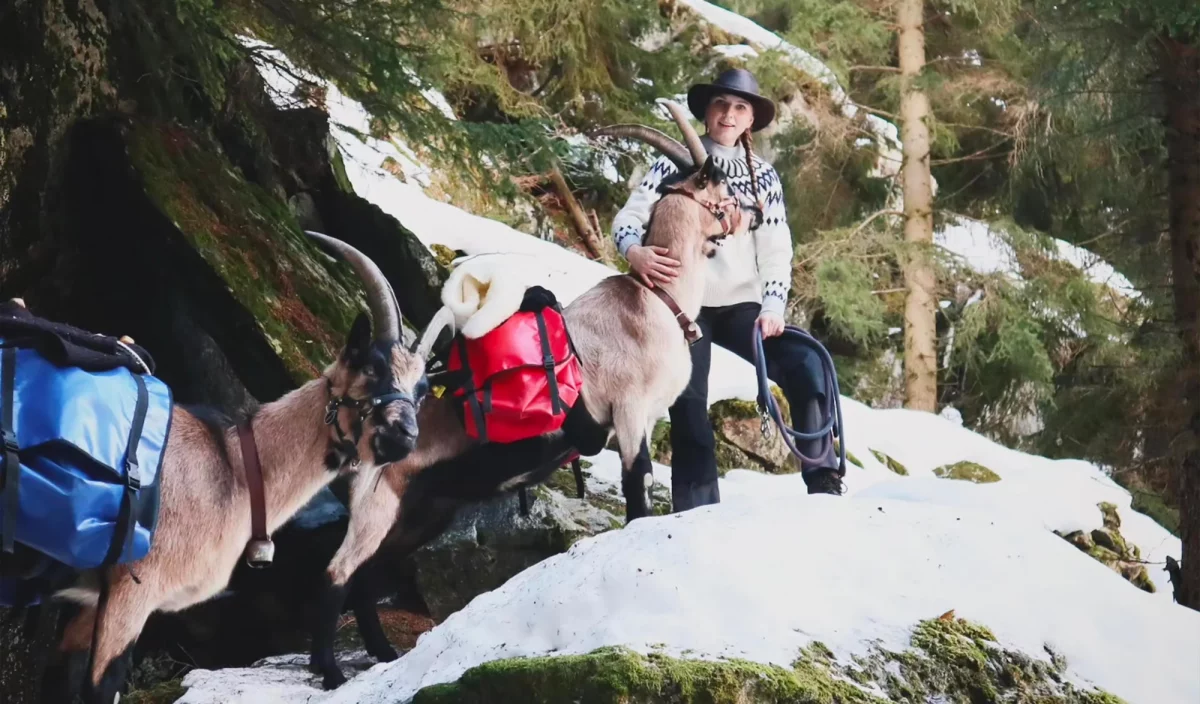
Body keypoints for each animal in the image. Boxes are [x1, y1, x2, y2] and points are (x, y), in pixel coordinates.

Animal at [32, 232, 444, 704]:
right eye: (371, 366)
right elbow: (101, 688)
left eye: (422, 389)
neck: (232, 469)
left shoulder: (88, 603)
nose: (403, 436)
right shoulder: (132, 591)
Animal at [307, 100, 758, 690]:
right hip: (378, 503)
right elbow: (637, 483)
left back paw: (381, 654)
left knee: (368, 574)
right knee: (337, 572)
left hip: (421, 511)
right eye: (722, 187)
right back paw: (330, 670)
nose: (752, 215)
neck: (654, 301)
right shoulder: (629, 411)